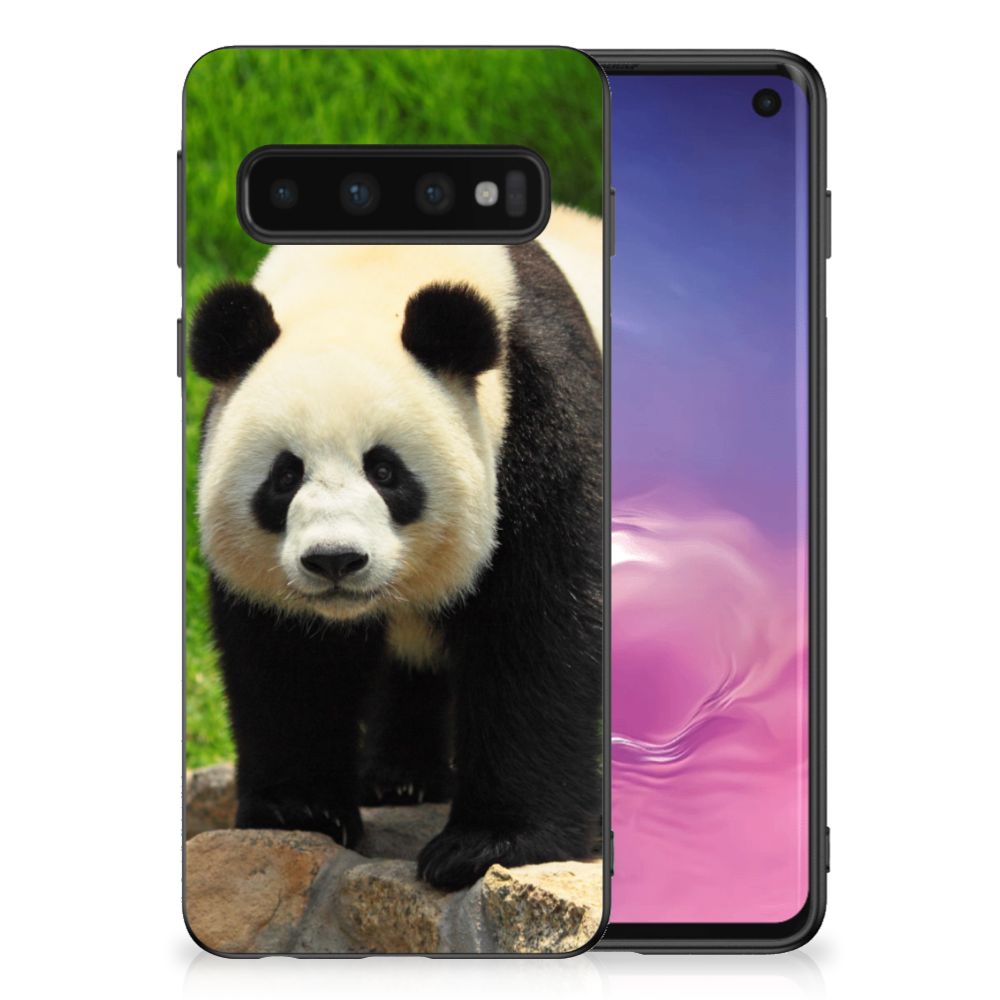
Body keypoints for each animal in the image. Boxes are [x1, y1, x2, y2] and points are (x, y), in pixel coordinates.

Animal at [191, 205, 603, 890]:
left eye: (385, 471)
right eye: (284, 475)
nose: (334, 560)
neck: (370, 266)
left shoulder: (539, 412)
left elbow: (538, 627)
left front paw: (488, 844)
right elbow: (287, 653)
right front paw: (300, 810)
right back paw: (400, 778)